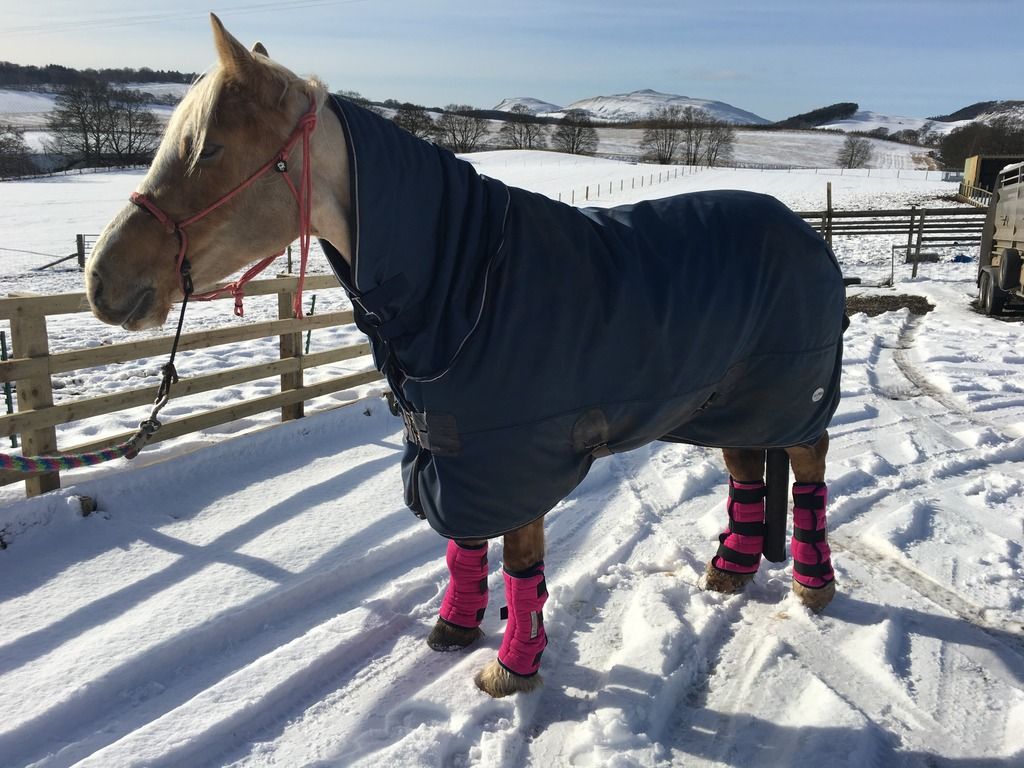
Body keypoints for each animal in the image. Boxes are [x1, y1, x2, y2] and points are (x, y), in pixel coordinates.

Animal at [86, 15, 845, 698]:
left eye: (209, 149)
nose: (102, 282)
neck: (467, 281)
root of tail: (808, 236)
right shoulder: (451, 446)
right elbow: (462, 543)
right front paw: (455, 628)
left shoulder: (513, 457)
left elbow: (520, 561)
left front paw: (512, 668)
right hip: (730, 402)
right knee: (747, 470)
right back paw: (732, 568)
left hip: (789, 398)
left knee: (806, 469)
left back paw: (812, 583)